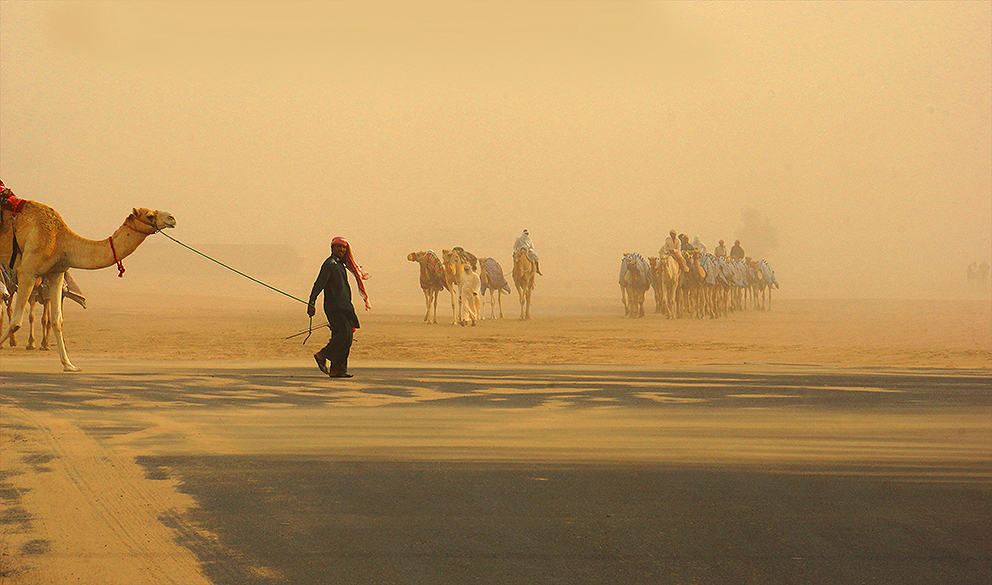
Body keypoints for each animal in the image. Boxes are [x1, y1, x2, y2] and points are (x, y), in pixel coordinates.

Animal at [0, 194, 175, 372]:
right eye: (149, 215)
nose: (172, 218)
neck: (61, 240)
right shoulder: (27, 272)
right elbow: (16, 322)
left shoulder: (56, 272)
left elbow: (57, 320)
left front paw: (69, 365)